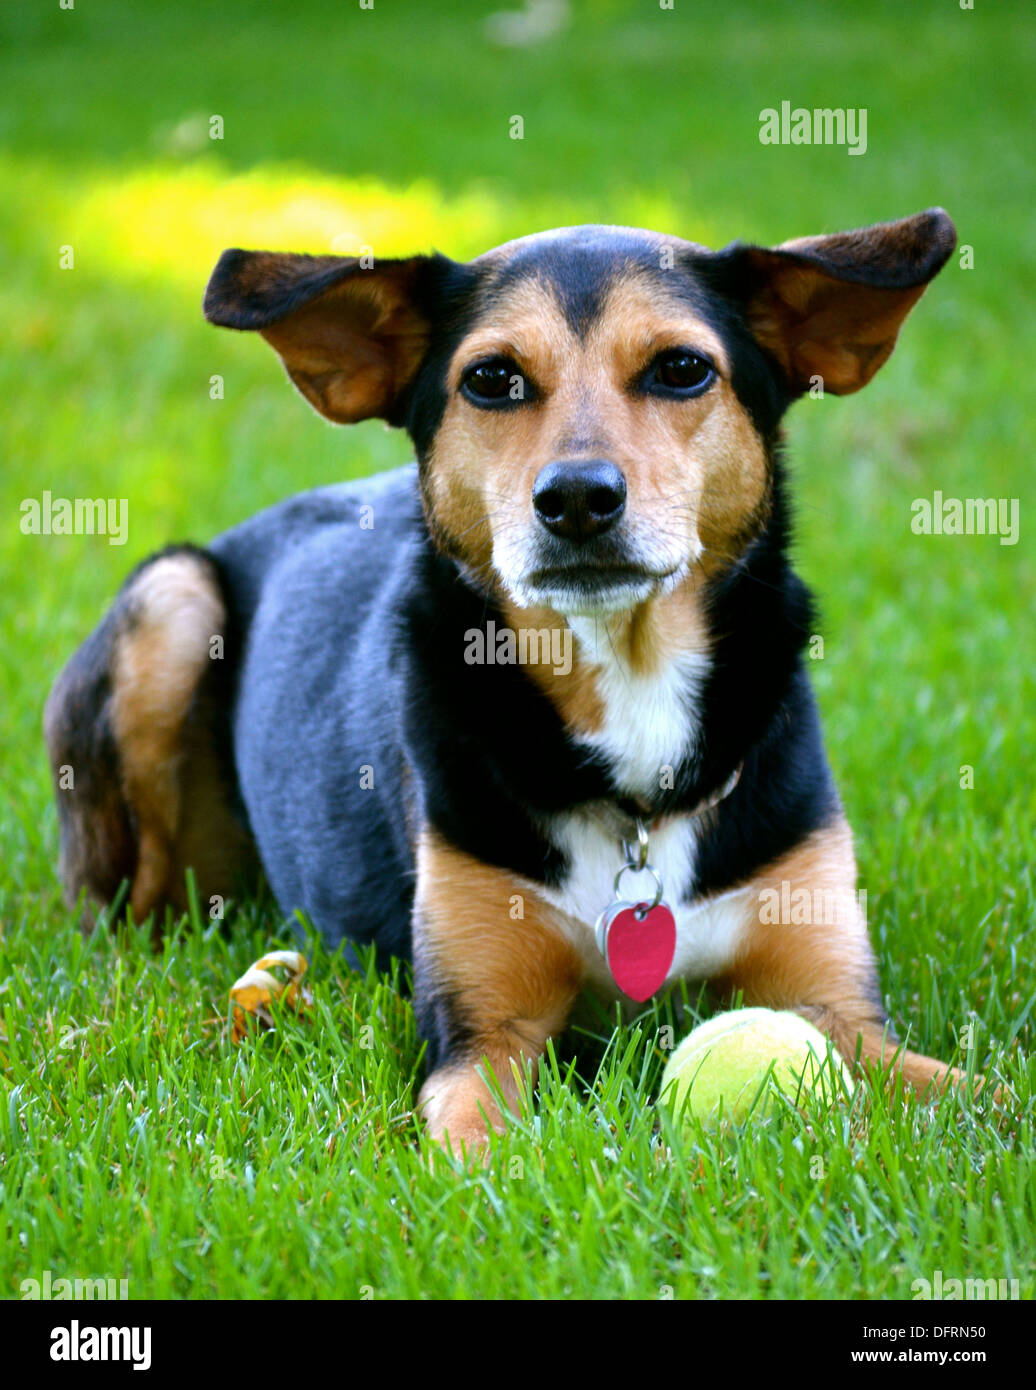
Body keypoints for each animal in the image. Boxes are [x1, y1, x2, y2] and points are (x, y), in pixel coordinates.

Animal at [46, 208, 967, 1150]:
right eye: (493, 379)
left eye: (682, 369)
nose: (578, 498)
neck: (628, 688)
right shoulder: (484, 1034)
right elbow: (480, 1149)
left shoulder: (840, 1012)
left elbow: (980, 1096)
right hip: (172, 602)